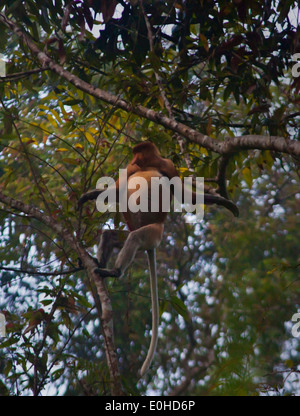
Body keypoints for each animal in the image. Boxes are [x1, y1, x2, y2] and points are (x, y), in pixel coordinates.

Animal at [78, 141, 239, 378]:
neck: (148, 163)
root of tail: (150, 246)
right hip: (139, 231)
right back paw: (101, 266)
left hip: (153, 232)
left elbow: (183, 195)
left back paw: (113, 271)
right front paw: (87, 196)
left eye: (139, 152)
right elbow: (116, 191)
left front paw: (224, 203)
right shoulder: (130, 168)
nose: (135, 159)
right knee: (111, 236)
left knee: (135, 238)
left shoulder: (168, 165)